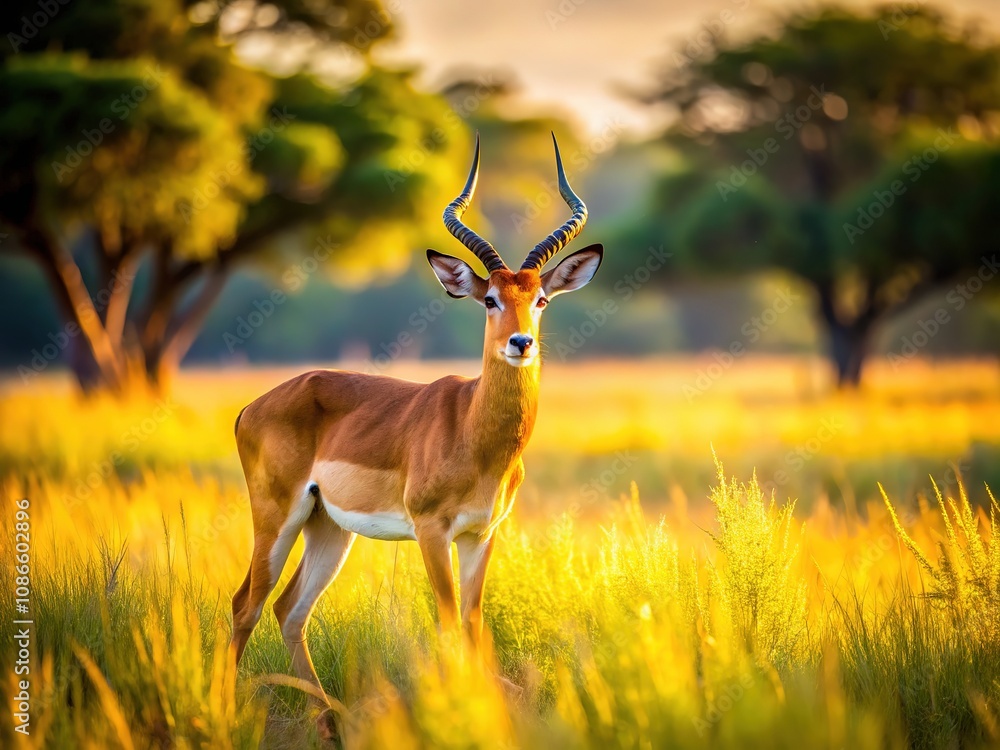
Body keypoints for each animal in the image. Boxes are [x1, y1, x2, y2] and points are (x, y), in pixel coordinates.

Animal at [230, 134, 603, 728]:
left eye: (540, 299)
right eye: (490, 298)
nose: (521, 342)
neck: (475, 434)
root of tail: (253, 405)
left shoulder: (482, 534)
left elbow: (474, 626)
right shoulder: (432, 531)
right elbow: (448, 624)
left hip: (327, 526)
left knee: (289, 609)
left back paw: (329, 723)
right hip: (276, 518)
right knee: (246, 604)